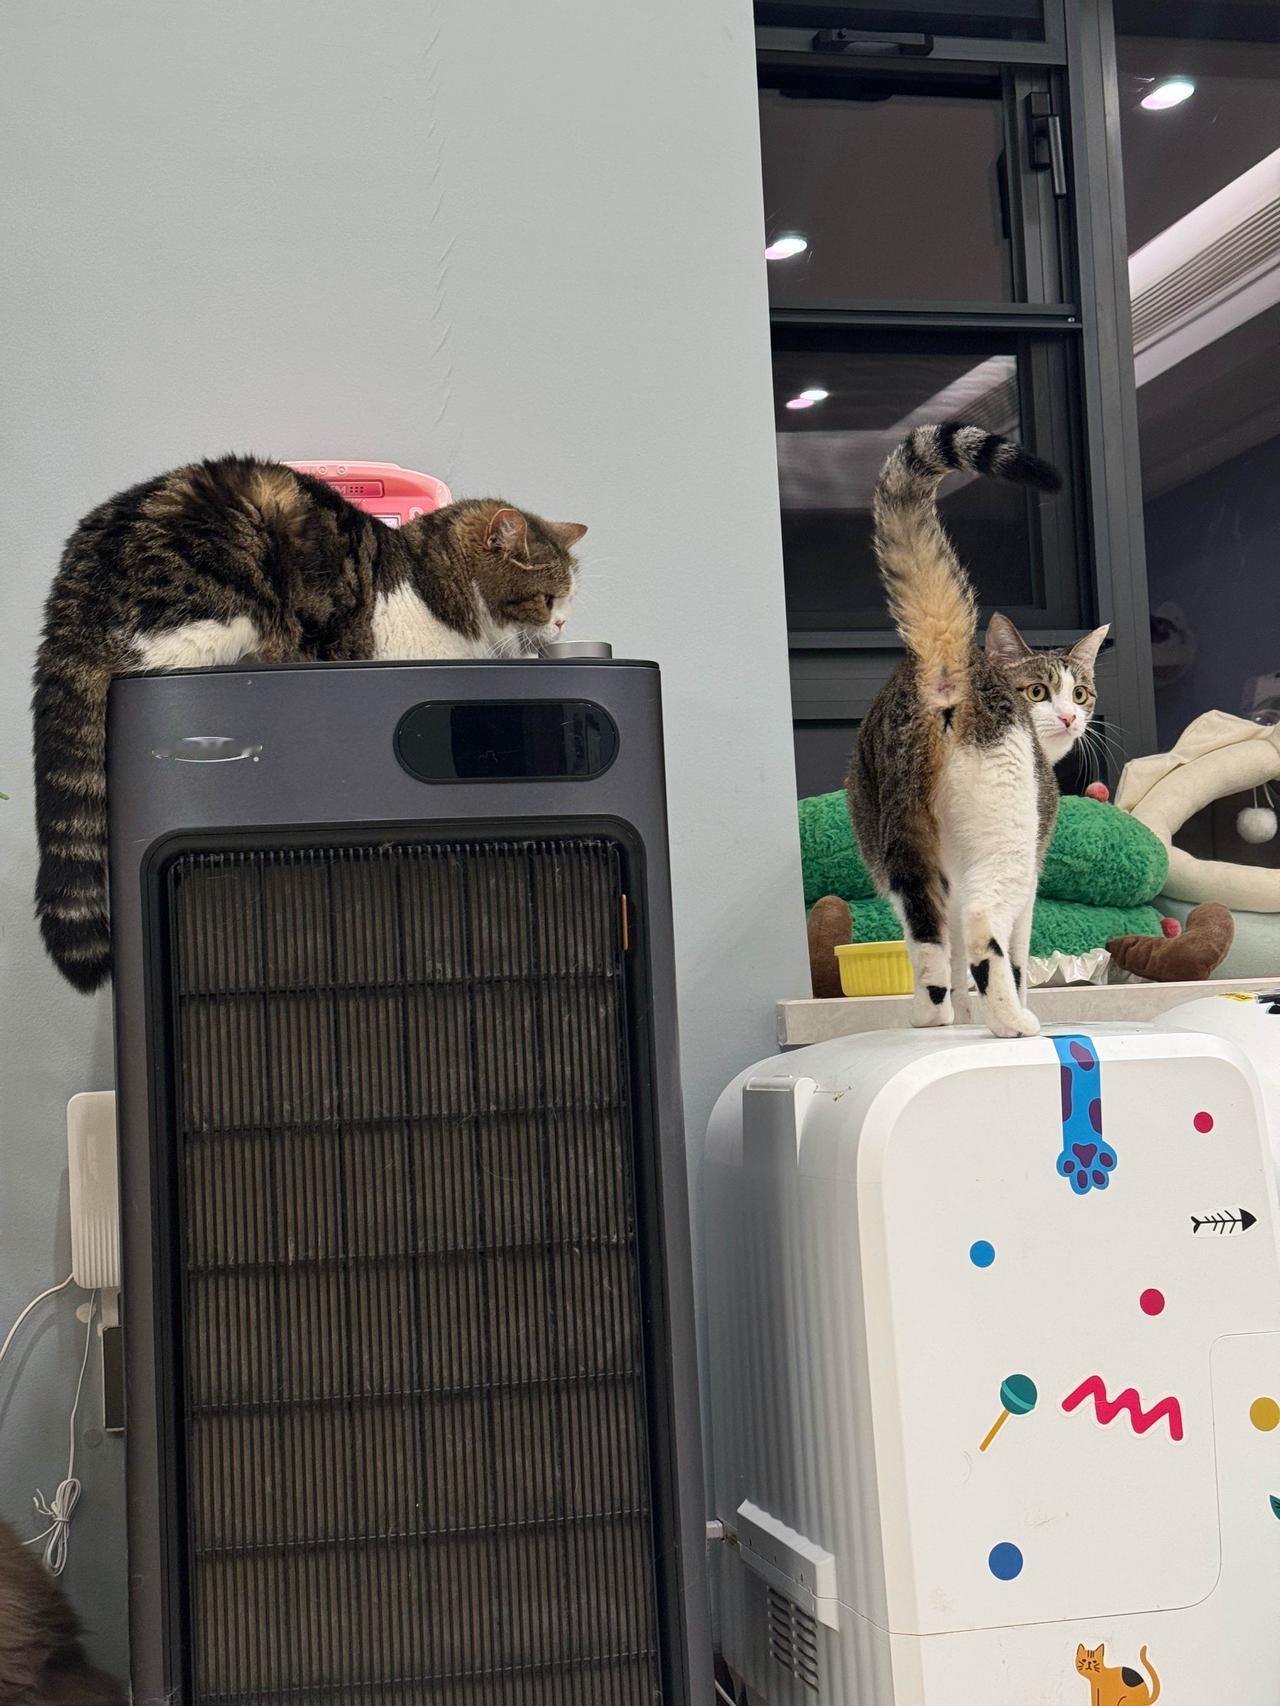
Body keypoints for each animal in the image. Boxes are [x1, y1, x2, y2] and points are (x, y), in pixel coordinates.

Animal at [32, 455, 586, 993]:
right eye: (547, 599)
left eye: (568, 601)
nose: (563, 624)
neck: (431, 584)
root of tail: (74, 584)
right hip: (207, 622)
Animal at [846, 421, 1107, 1039]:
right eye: (1037, 692)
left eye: (1080, 693)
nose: (1071, 718)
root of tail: (946, 660)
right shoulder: (1032, 863)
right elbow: (1017, 950)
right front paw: (1008, 1002)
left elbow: (953, 948)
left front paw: (967, 1011)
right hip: (1004, 831)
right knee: (985, 920)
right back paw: (1014, 1022)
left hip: (896, 836)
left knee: (928, 936)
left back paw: (932, 1018)